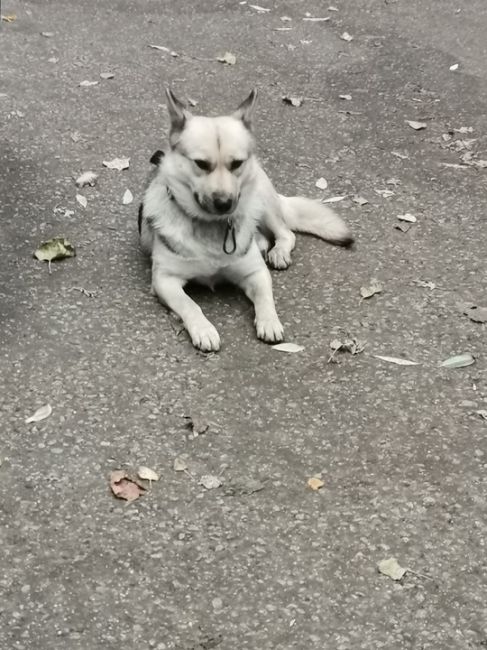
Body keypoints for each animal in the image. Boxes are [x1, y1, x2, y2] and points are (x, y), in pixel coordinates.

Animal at [139, 89, 352, 352]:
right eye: (201, 164)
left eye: (236, 164)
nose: (224, 203)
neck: (213, 226)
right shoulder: (165, 281)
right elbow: (190, 304)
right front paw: (203, 328)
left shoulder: (256, 273)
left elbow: (265, 298)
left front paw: (269, 321)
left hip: (262, 199)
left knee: (285, 233)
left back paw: (278, 251)